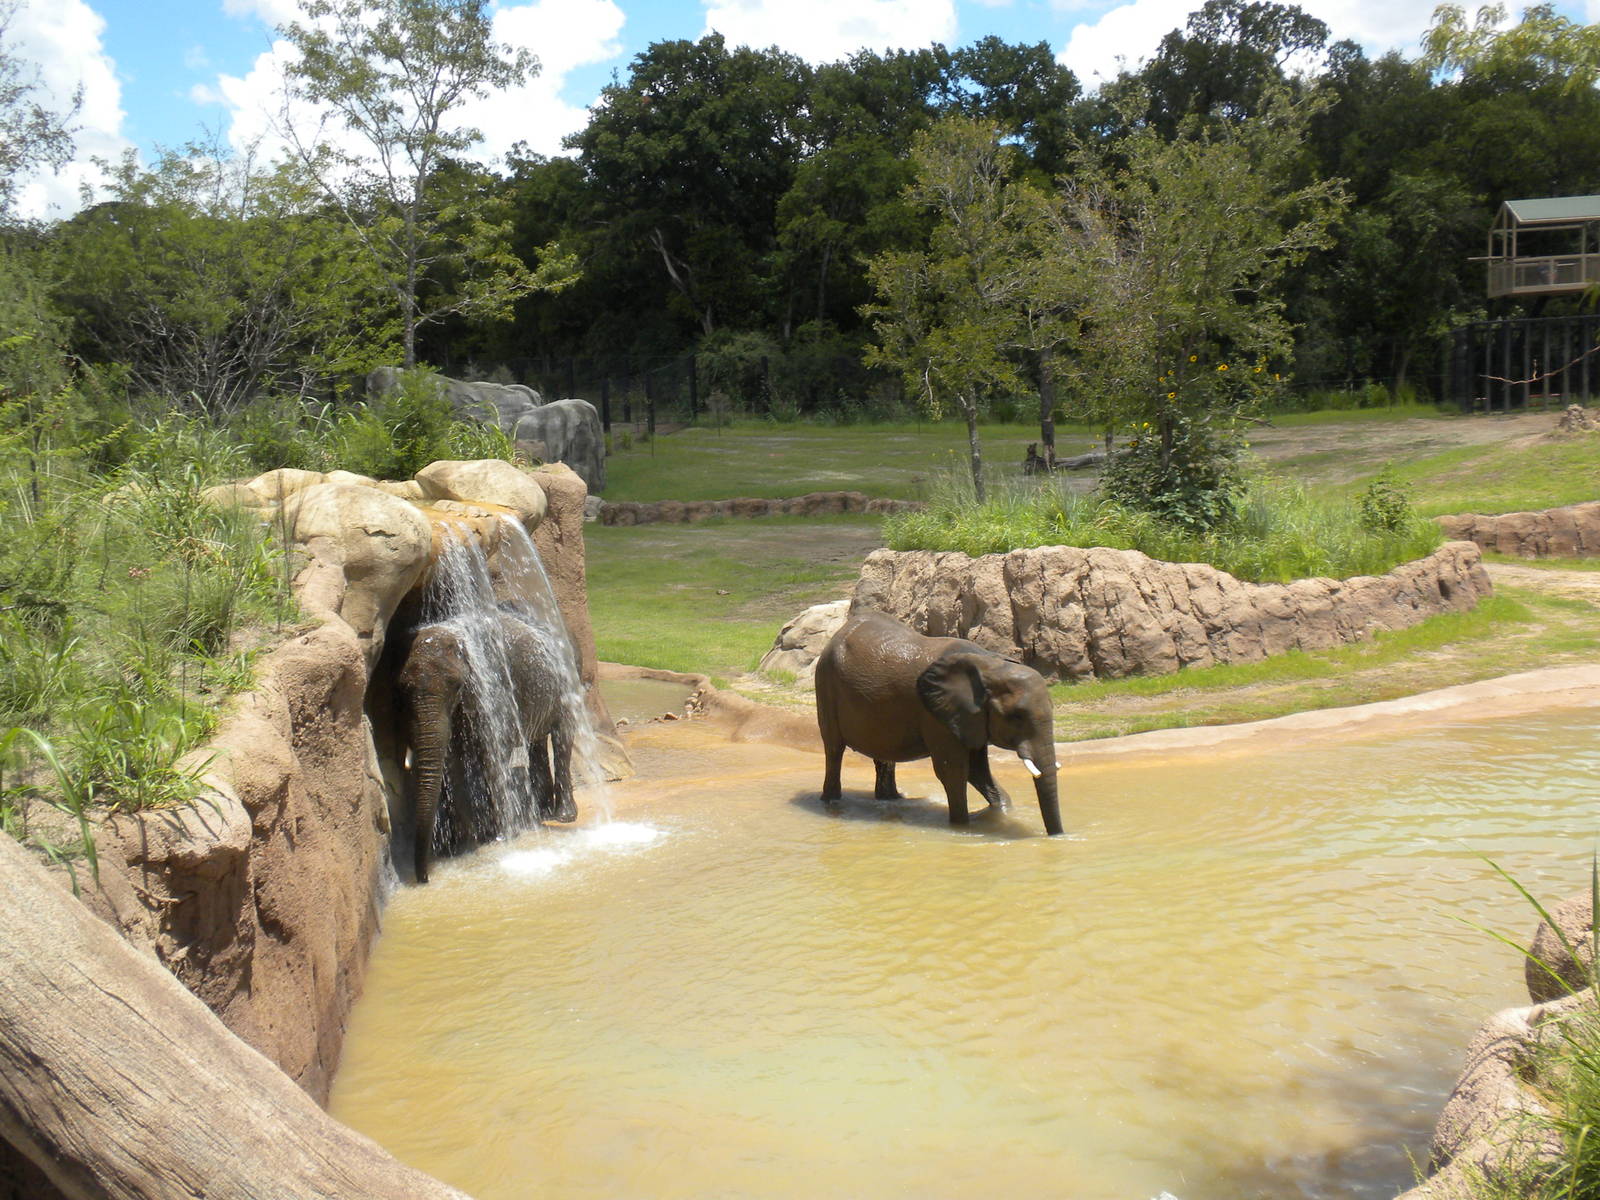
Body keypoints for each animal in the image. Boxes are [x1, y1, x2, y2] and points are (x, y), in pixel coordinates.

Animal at [394, 611, 577, 883]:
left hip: (566, 681)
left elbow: (492, 752)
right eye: (403, 689)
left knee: (562, 737)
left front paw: (503, 835)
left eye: (457, 685)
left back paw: (562, 816)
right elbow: (452, 761)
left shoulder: (494, 685)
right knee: (536, 744)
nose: (424, 878)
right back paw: (541, 814)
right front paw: (466, 846)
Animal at [814, 609, 1064, 836]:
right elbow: (953, 770)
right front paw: (961, 827)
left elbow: (978, 768)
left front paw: (1001, 812)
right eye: (1016, 717)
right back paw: (831, 802)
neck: (990, 665)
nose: (1056, 836)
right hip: (825, 684)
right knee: (834, 750)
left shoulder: (970, 718)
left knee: (884, 757)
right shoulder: (936, 715)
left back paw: (891, 799)